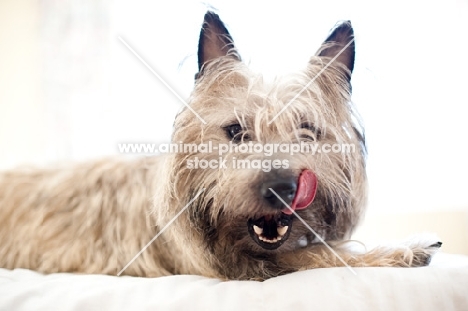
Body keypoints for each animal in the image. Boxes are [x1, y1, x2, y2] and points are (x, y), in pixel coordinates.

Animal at [0, 11, 442, 280]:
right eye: (235, 130)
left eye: (307, 131)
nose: (281, 188)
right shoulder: (235, 267)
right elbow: (320, 254)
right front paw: (404, 249)